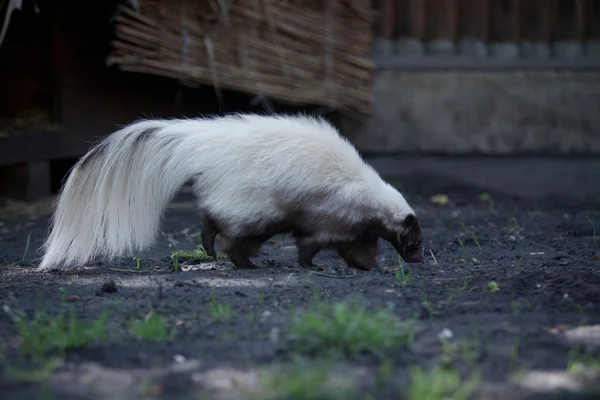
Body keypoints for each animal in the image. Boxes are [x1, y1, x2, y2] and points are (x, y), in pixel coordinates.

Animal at [37, 114, 424, 270]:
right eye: (415, 240)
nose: (418, 258)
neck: (372, 196)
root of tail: (206, 145)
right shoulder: (333, 212)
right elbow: (311, 243)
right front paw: (313, 267)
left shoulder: (358, 225)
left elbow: (358, 247)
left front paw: (371, 266)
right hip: (256, 204)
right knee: (229, 232)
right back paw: (236, 258)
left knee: (222, 226)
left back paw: (222, 253)